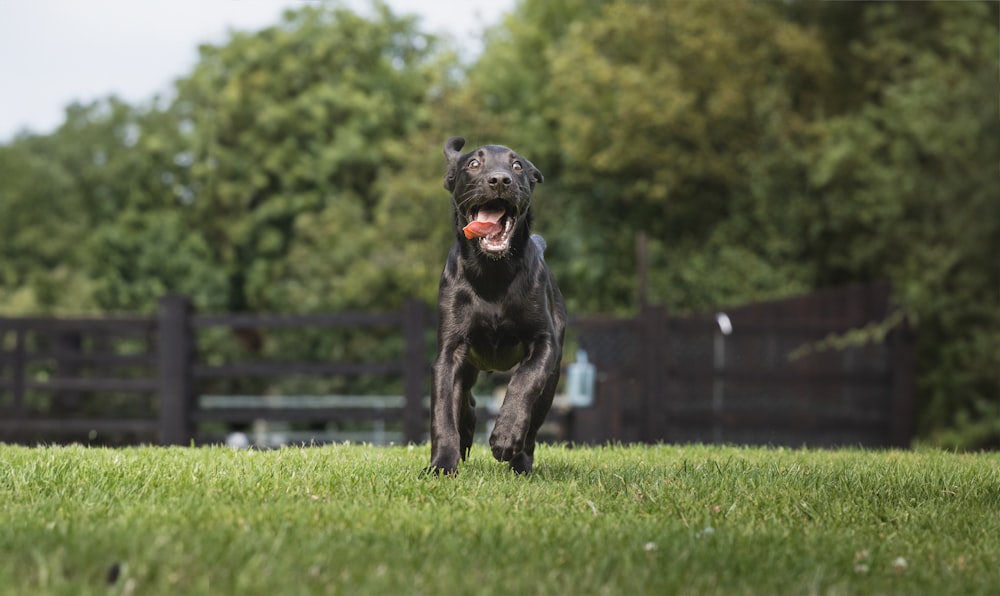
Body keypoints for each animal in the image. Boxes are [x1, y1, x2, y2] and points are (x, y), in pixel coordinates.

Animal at [426, 136, 568, 474]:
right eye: (474, 164)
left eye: (517, 166)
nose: (500, 180)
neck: (493, 273)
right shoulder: (450, 351)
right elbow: (442, 412)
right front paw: (441, 465)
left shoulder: (544, 343)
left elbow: (524, 382)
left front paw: (504, 436)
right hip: (468, 367)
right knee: (465, 403)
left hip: (552, 379)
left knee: (532, 427)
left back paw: (520, 462)